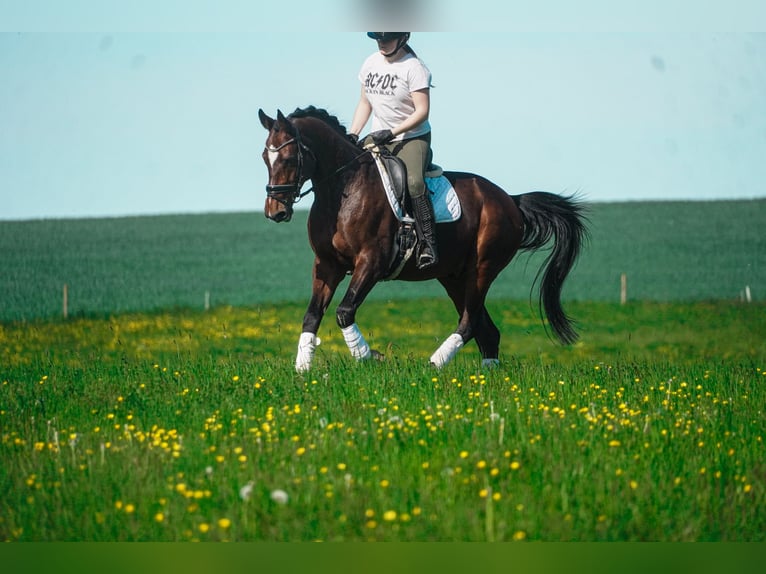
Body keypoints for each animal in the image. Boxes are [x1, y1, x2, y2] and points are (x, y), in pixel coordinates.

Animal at [258, 106, 588, 372]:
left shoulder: (372, 262)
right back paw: (486, 377)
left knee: (470, 323)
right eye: (265, 157)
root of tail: (510, 200)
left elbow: (344, 312)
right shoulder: (327, 265)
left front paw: (371, 356)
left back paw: (434, 364)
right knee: (486, 331)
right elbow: (312, 315)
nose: (275, 211)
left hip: (482, 268)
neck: (344, 188)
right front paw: (302, 369)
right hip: (454, 277)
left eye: (288, 157)